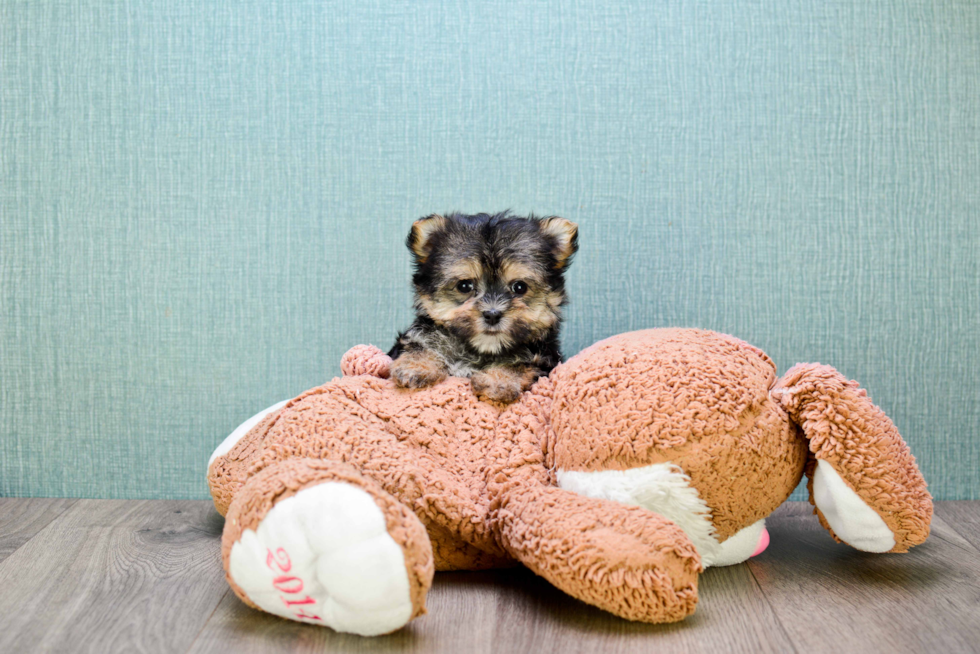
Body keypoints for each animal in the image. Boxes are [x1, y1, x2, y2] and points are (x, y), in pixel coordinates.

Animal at [388, 211, 580, 404]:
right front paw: (416, 366)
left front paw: (498, 381)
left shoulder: (544, 359)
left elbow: (521, 364)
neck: (482, 350)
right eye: (464, 286)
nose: (492, 315)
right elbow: (419, 345)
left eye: (520, 287)